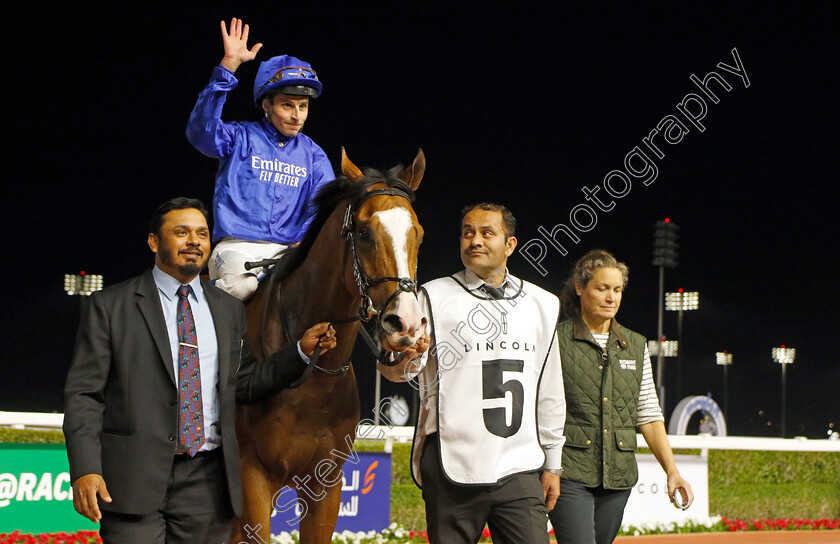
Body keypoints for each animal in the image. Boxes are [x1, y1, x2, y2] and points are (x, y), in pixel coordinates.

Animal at [230, 149, 426, 544]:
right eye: (364, 232)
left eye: (418, 234)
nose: (406, 323)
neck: (312, 379)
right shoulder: (252, 478)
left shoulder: (326, 484)